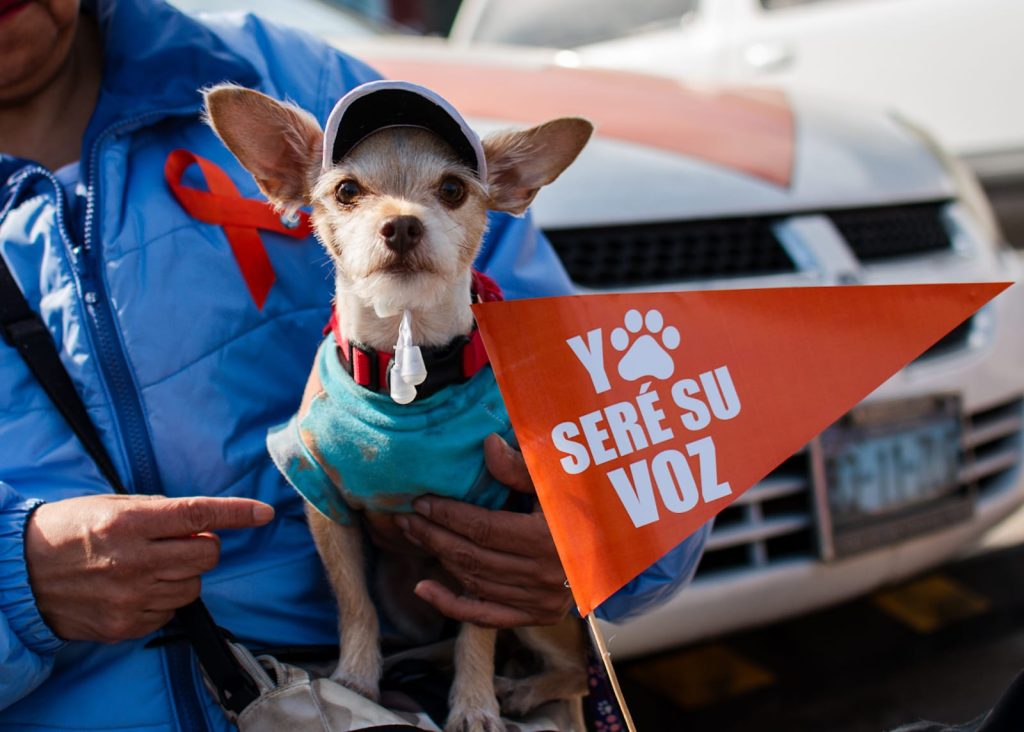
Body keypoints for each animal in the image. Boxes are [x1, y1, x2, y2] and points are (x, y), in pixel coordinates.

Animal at [202, 81, 593, 732]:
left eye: (453, 190)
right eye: (346, 191)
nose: (403, 224)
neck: (403, 369)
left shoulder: (487, 534)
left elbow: (479, 626)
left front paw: (474, 703)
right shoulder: (327, 507)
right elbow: (353, 605)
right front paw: (357, 681)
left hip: (542, 615)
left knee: (575, 670)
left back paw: (519, 690)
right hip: (406, 598)